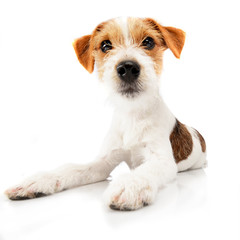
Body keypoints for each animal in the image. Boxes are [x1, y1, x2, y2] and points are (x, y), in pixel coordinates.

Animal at [4, 17, 206, 211]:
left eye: (148, 42)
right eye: (105, 45)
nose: (127, 68)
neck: (132, 113)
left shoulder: (161, 159)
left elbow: (146, 170)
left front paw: (130, 185)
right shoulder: (104, 162)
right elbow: (73, 168)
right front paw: (39, 180)